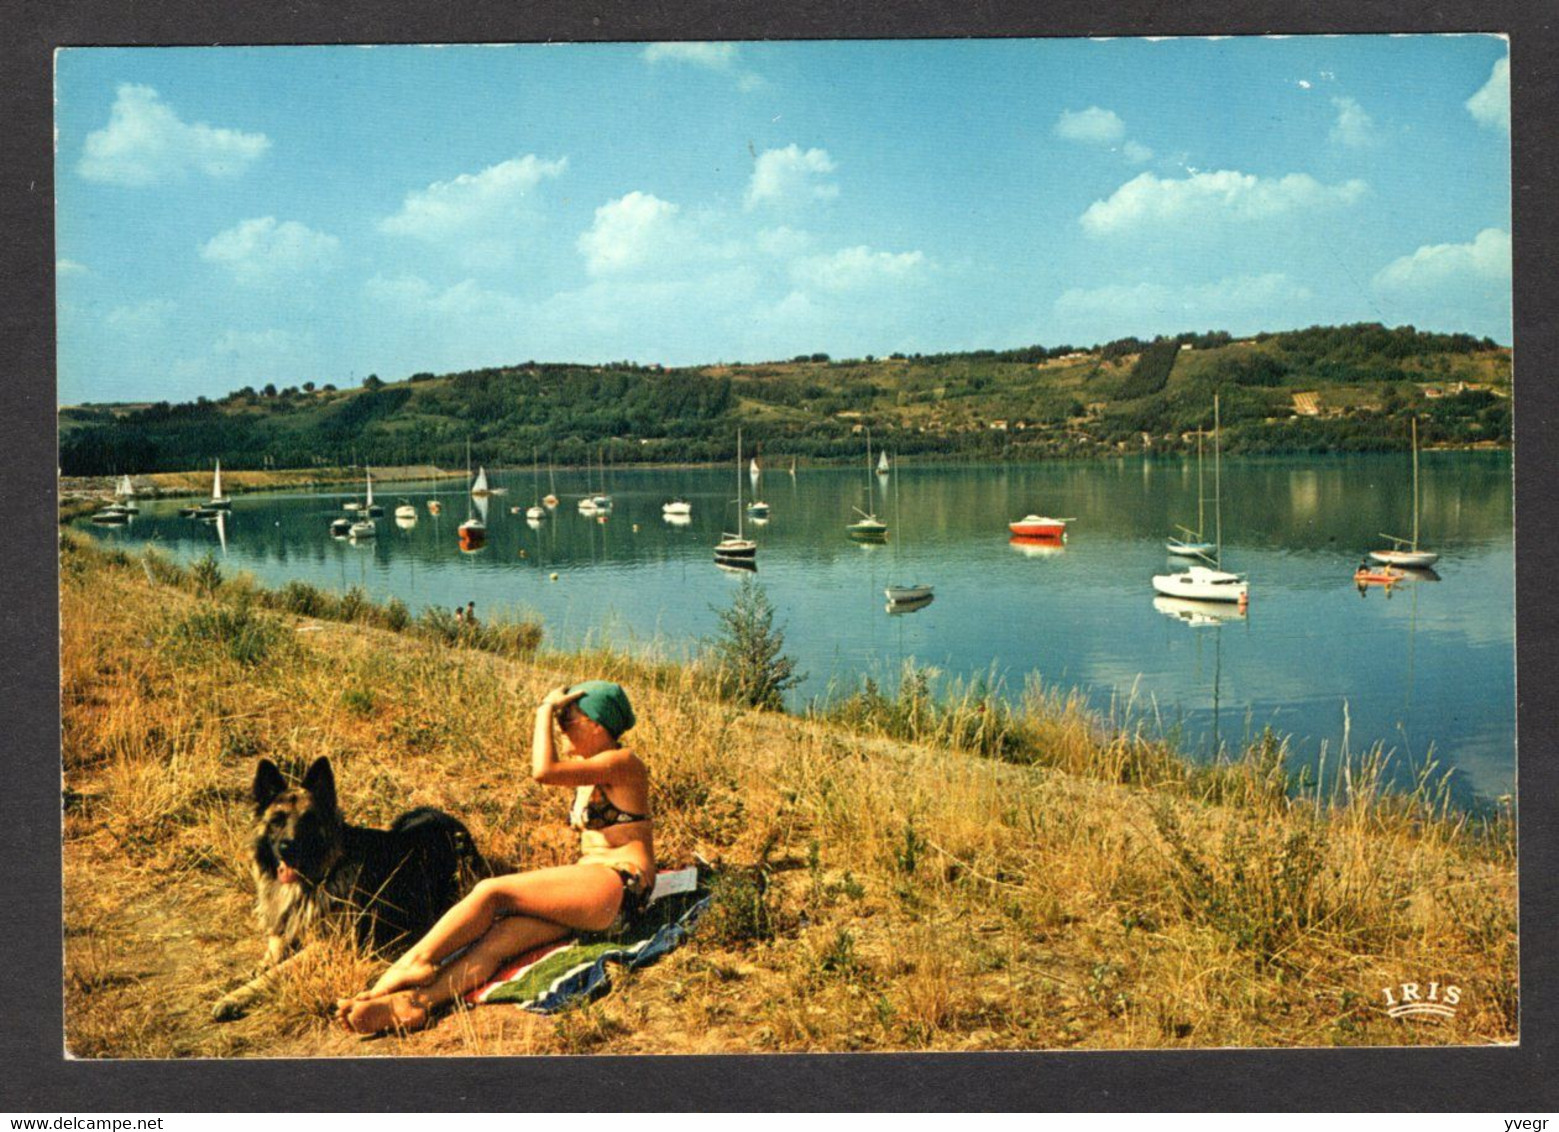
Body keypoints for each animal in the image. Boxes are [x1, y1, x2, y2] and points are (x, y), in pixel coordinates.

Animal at [210, 757, 483, 1022]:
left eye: (308, 821)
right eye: (277, 821)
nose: (288, 848)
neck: (317, 879)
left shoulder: (327, 945)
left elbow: (279, 970)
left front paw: (235, 996)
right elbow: (276, 944)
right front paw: (261, 964)